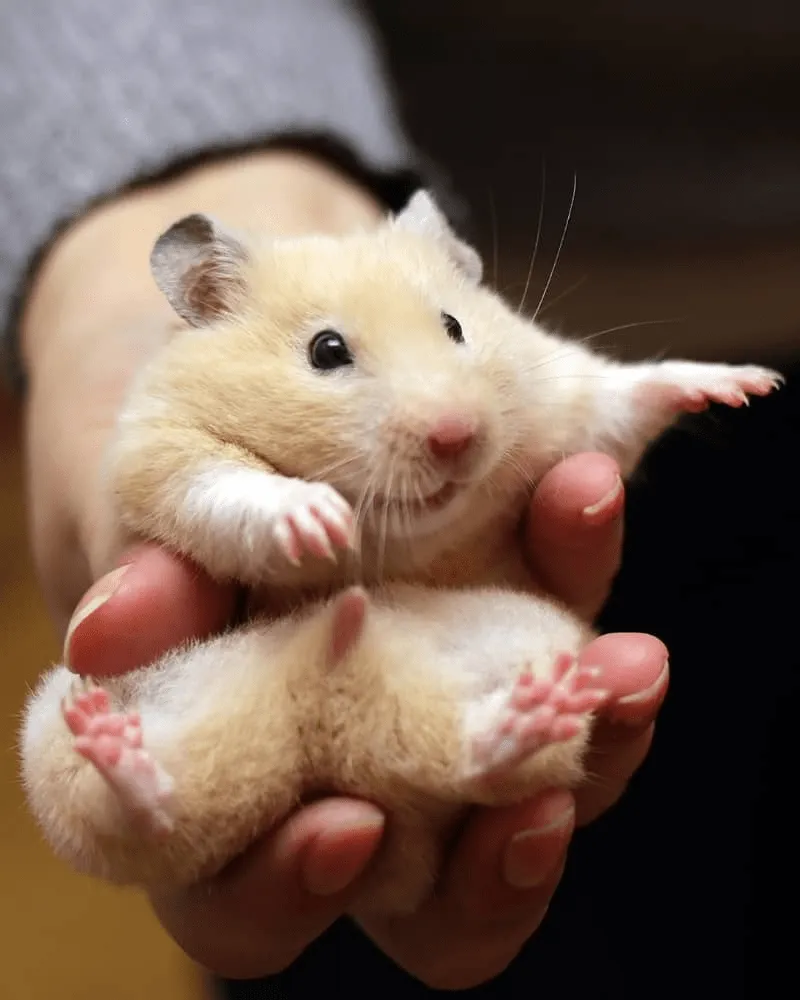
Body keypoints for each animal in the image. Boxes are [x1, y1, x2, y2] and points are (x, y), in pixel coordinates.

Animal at [19, 190, 782, 916]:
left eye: (455, 326)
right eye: (326, 351)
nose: (457, 435)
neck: (416, 538)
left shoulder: (563, 406)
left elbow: (623, 400)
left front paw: (745, 382)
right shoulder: (161, 451)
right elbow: (231, 487)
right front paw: (318, 521)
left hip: (537, 662)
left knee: (473, 762)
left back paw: (498, 706)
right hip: (50, 743)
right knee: (145, 815)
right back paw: (120, 745)